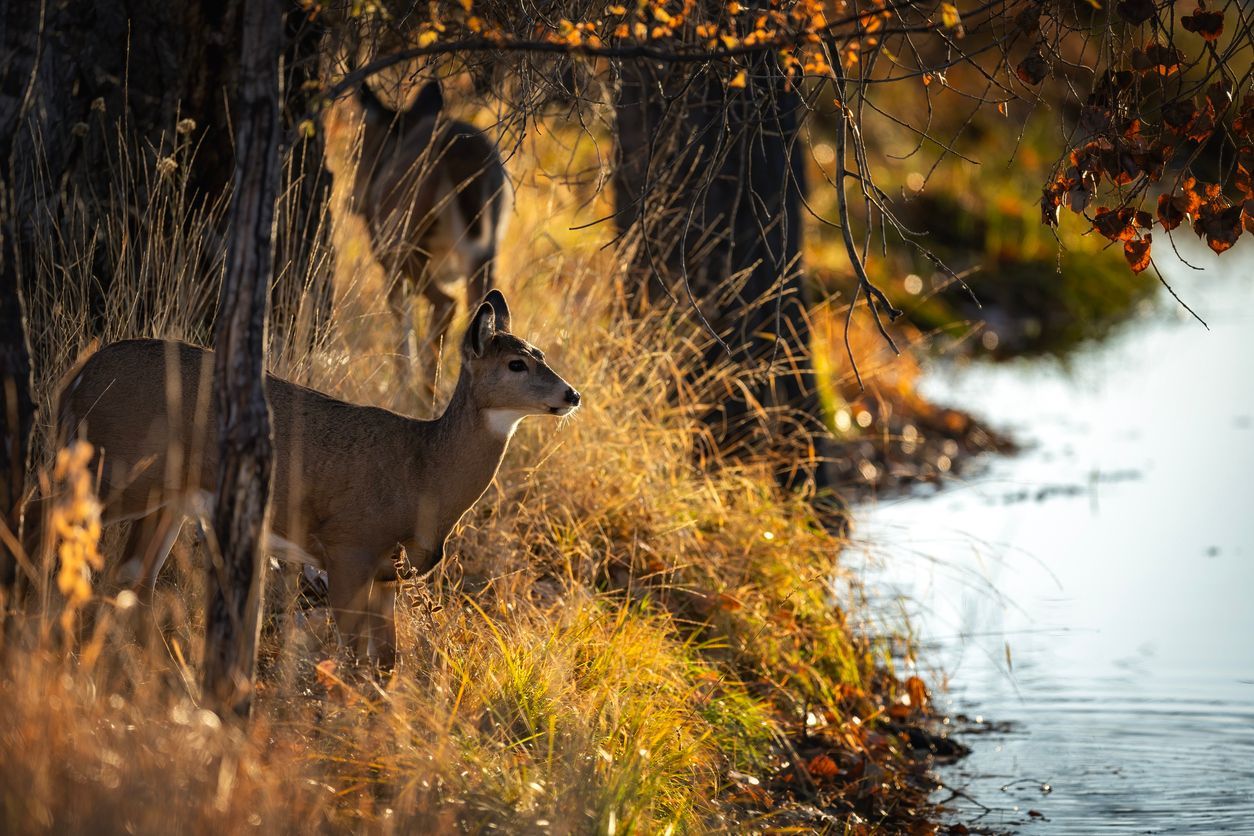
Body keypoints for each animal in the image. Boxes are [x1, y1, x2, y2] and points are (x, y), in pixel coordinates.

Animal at [47, 290, 579, 670]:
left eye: (541, 352)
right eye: (516, 363)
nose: (571, 394)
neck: (422, 472)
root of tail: (78, 378)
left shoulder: (384, 572)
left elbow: (386, 662)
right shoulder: (348, 547)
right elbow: (352, 657)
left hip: (168, 497)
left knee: (134, 577)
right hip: (114, 469)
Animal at [353, 78, 511, 398]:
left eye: (360, 147)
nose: (354, 199)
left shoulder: (389, 260)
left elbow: (401, 314)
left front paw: (403, 382)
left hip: (406, 242)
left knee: (446, 304)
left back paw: (428, 391)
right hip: (485, 250)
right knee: (481, 305)